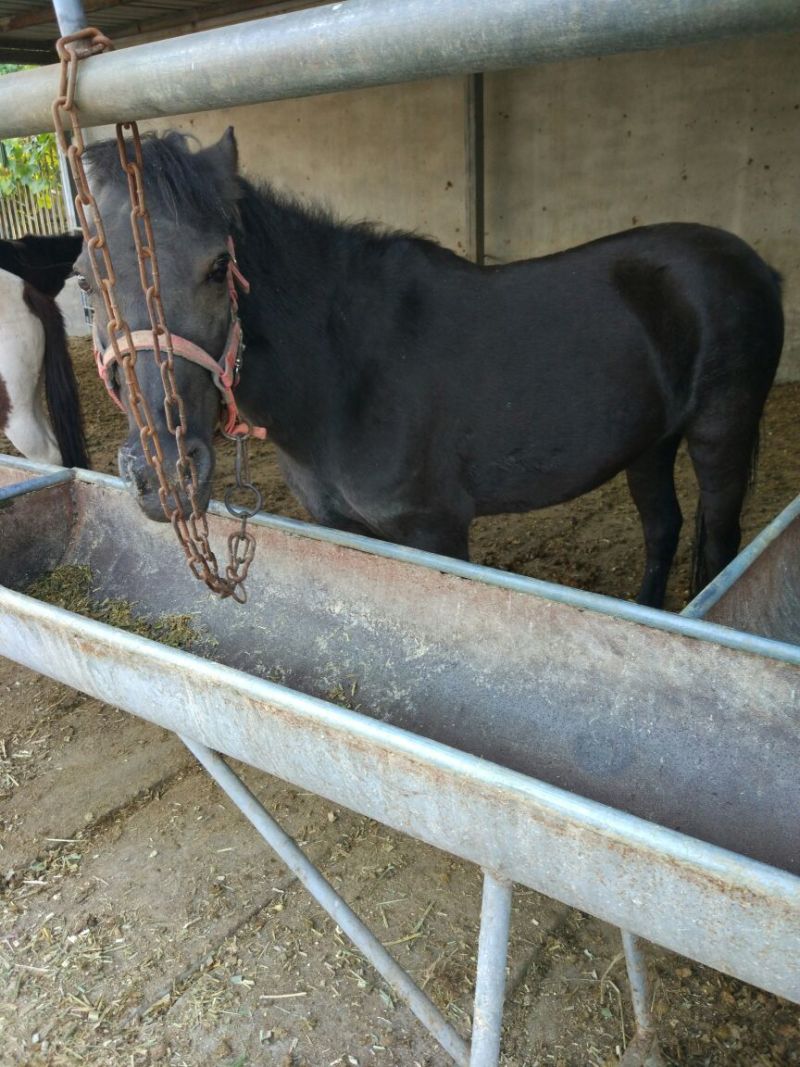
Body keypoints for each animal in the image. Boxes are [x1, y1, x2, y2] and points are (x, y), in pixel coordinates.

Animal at [77, 130, 783, 608]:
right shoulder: (344, 527)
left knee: (719, 542)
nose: (164, 476)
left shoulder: (435, 530)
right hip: (649, 441)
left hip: (720, 432)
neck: (343, 373)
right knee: (662, 527)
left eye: (219, 266)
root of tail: (752, 262)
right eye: (85, 281)